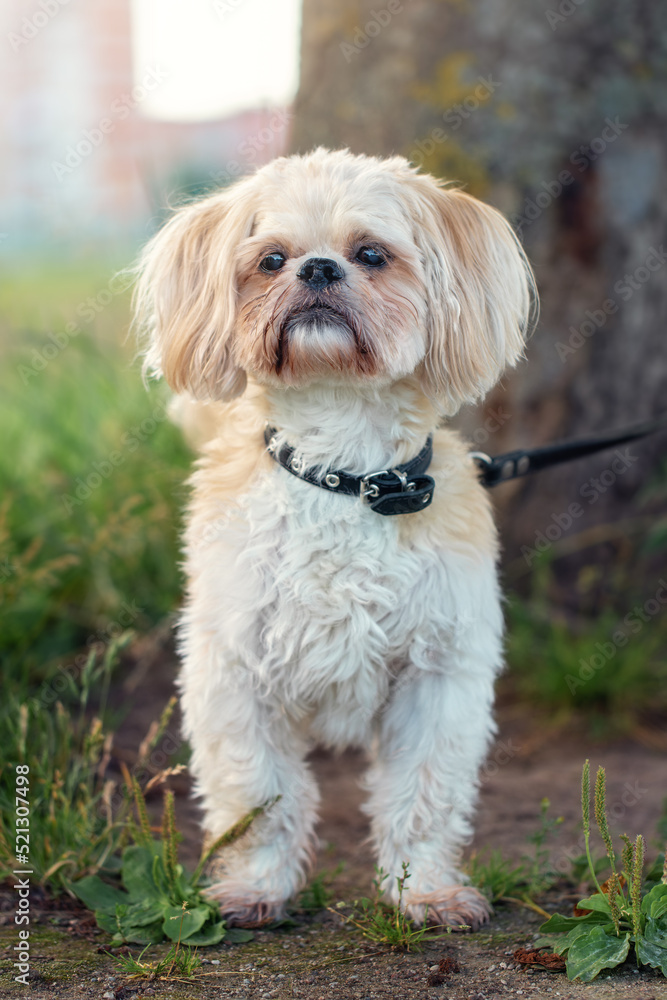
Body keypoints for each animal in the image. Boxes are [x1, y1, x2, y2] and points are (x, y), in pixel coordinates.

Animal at [133, 146, 536, 928]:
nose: (317, 269)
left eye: (371, 254)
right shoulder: (235, 675)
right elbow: (258, 796)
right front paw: (256, 888)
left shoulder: (438, 675)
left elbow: (424, 795)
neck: (344, 475)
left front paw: (425, 891)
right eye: (271, 259)